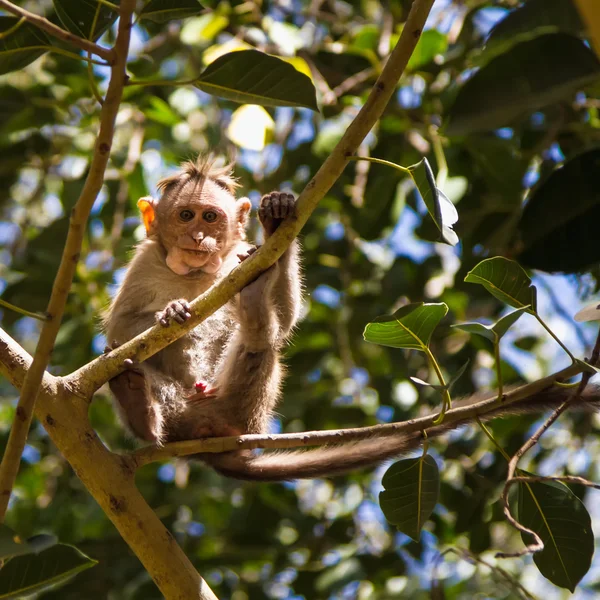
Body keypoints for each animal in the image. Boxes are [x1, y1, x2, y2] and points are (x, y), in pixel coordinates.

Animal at [104, 156, 600, 482]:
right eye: (185, 215)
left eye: (211, 216)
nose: (199, 237)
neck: (197, 274)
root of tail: (209, 441)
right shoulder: (146, 261)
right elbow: (120, 327)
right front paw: (170, 312)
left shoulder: (237, 258)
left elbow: (286, 321)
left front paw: (276, 222)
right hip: (180, 416)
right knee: (125, 365)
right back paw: (140, 412)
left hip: (244, 414)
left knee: (264, 342)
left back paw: (254, 313)